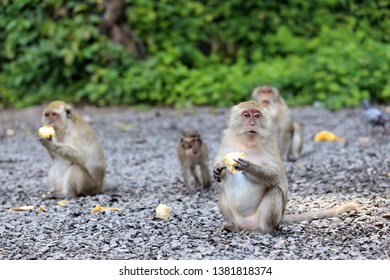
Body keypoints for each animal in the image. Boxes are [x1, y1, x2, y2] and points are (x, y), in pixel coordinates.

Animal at [213, 101, 360, 233]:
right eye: (246, 115)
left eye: (257, 115)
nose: (252, 124)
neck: (247, 142)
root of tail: (246, 224)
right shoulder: (227, 139)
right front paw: (218, 169)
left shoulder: (270, 142)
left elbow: (275, 175)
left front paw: (248, 167)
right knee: (222, 193)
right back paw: (233, 226)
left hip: (270, 219)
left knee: (275, 191)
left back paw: (263, 229)